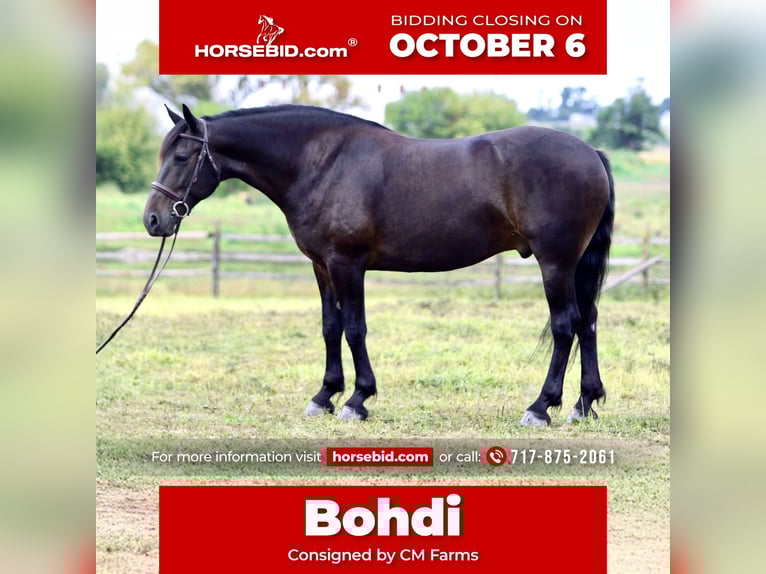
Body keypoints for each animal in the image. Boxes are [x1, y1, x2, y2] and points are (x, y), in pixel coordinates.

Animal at [144, 104, 615, 426]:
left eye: (182, 157)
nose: (153, 220)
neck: (323, 164)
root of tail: (590, 151)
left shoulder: (347, 265)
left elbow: (355, 328)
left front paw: (357, 400)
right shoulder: (322, 267)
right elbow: (330, 327)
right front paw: (324, 396)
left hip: (555, 263)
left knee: (565, 325)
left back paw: (541, 407)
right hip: (575, 265)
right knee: (589, 320)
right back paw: (583, 403)